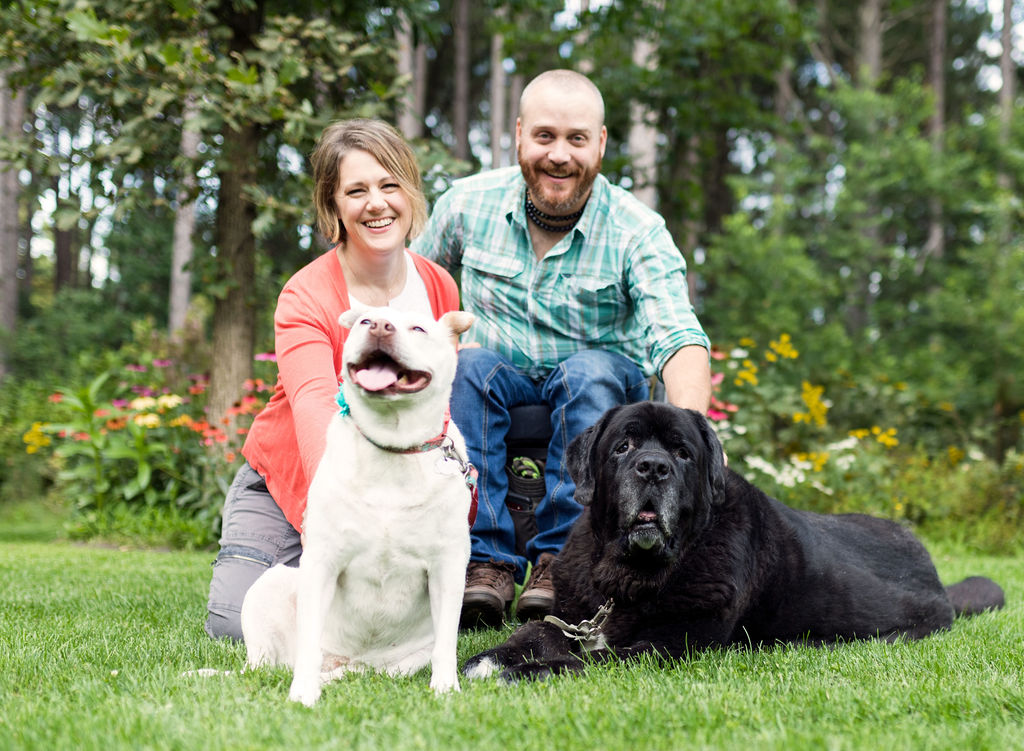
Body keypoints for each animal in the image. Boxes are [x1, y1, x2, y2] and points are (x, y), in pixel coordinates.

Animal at [242, 305, 475, 704]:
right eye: (367, 322)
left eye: (418, 328)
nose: (380, 326)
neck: (392, 447)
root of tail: (350, 664)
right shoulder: (322, 561)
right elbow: (308, 644)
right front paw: (302, 695)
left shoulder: (447, 567)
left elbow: (446, 644)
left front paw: (445, 689)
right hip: (266, 587)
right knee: (260, 664)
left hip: (400, 663)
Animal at [466, 403, 1007, 680]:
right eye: (623, 446)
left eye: (683, 453)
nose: (653, 467)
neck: (628, 576)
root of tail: (932, 569)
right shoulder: (574, 616)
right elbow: (531, 635)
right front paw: (484, 660)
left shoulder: (666, 644)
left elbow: (588, 658)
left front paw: (522, 672)